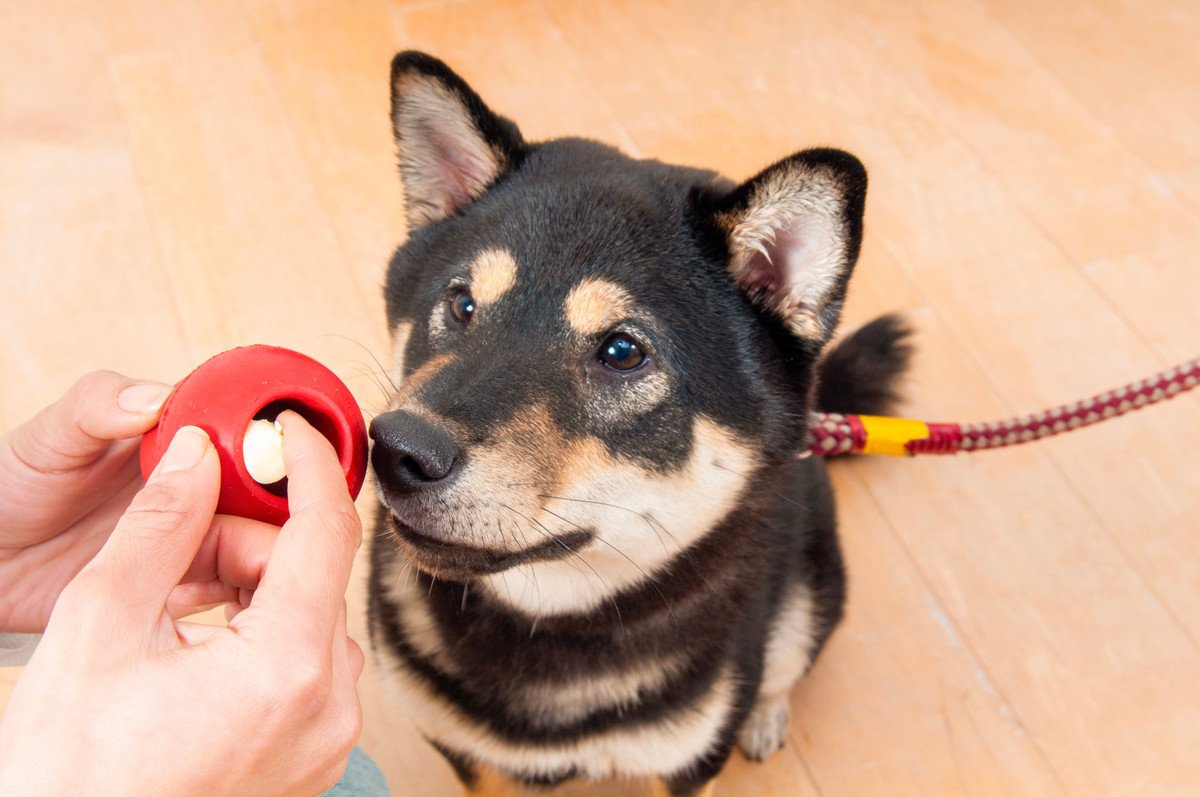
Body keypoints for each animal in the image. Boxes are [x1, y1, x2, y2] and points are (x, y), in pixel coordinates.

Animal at [364, 51, 907, 797]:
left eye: (622, 352)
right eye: (462, 303)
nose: (397, 449)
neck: (551, 623)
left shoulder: (685, 761)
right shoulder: (463, 748)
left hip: (813, 588)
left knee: (785, 658)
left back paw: (764, 714)